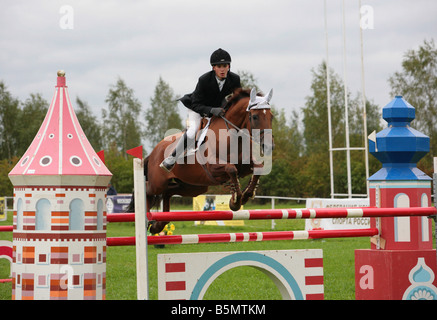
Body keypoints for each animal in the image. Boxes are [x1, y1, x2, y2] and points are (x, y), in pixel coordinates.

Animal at [127, 87, 274, 232]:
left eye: (271, 116)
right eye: (254, 117)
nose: (269, 146)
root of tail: (154, 151)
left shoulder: (244, 166)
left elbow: (258, 168)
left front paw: (247, 194)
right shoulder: (212, 167)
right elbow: (231, 169)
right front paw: (236, 201)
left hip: (193, 187)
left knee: (168, 193)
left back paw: (158, 226)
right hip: (159, 183)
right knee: (147, 189)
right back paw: (147, 220)